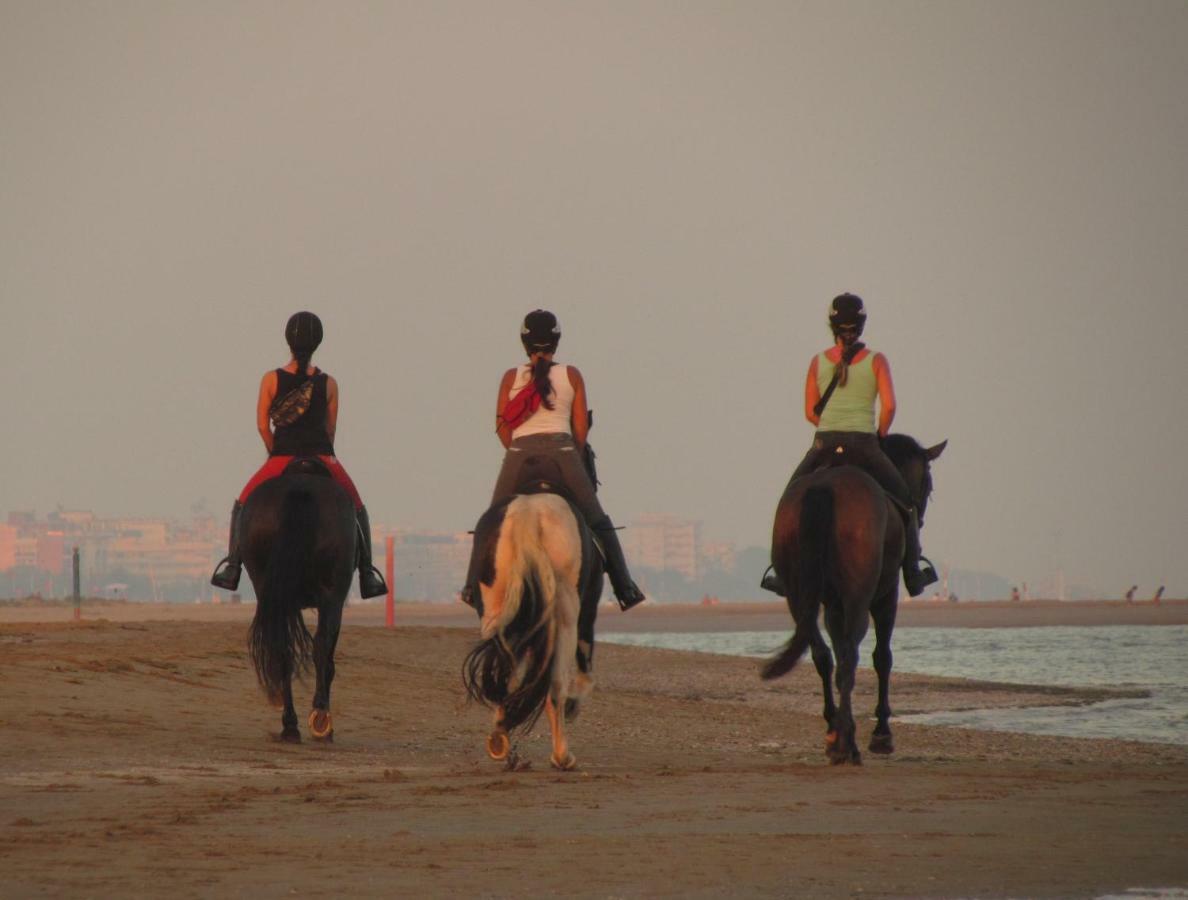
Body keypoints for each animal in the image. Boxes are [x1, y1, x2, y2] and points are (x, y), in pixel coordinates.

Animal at [238, 460, 354, 745]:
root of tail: (301, 488)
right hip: (332, 596)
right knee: (321, 647)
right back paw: (321, 719)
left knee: (282, 648)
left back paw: (291, 724)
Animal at [765, 436, 950, 769]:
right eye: (928, 484)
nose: (920, 517)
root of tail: (824, 488)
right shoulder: (887, 597)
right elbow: (882, 658)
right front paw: (881, 734)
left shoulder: (832, 607)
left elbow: (836, 655)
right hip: (859, 599)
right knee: (850, 657)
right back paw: (847, 744)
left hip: (799, 598)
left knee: (823, 656)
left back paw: (835, 732)